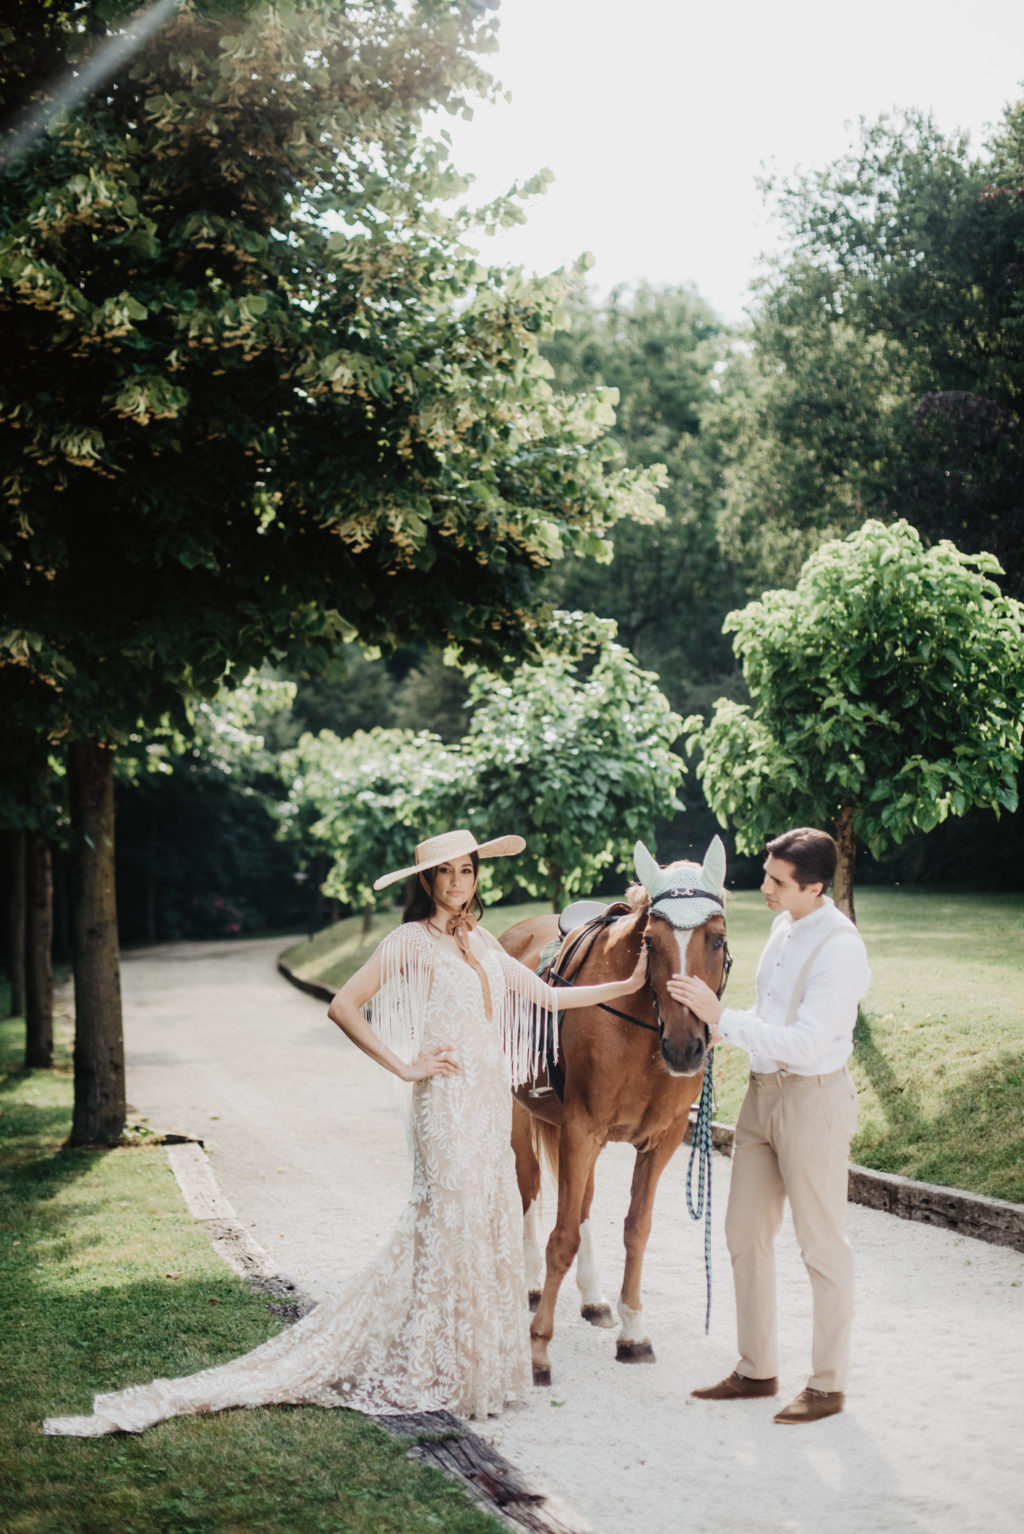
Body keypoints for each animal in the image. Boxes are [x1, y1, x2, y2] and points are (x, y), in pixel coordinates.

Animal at [496, 840, 726, 1392]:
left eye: (717, 938)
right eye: (652, 942)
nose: (685, 1048)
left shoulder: (660, 1141)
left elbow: (633, 1229)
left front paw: (633, 1330)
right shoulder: (581, 1130)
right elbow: (560, 1237)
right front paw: (538, 1349)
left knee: (579, 1204)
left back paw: (593, 1297)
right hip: (520, 1113)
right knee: (530, 1186)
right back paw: (531, 1284)